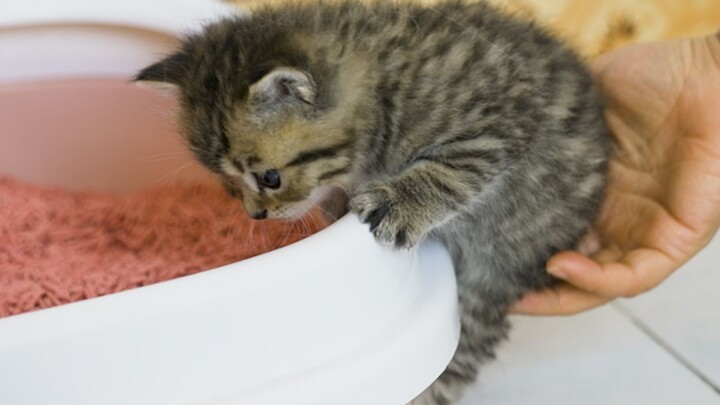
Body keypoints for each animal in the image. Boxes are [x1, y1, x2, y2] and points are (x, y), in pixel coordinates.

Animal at [138, 1, 612, 402]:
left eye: (269, 178)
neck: (384, 84)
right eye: (228, 184)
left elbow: (450, 169)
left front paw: (399, 202)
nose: (255, 214)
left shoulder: (500, 119)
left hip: (497, 269)